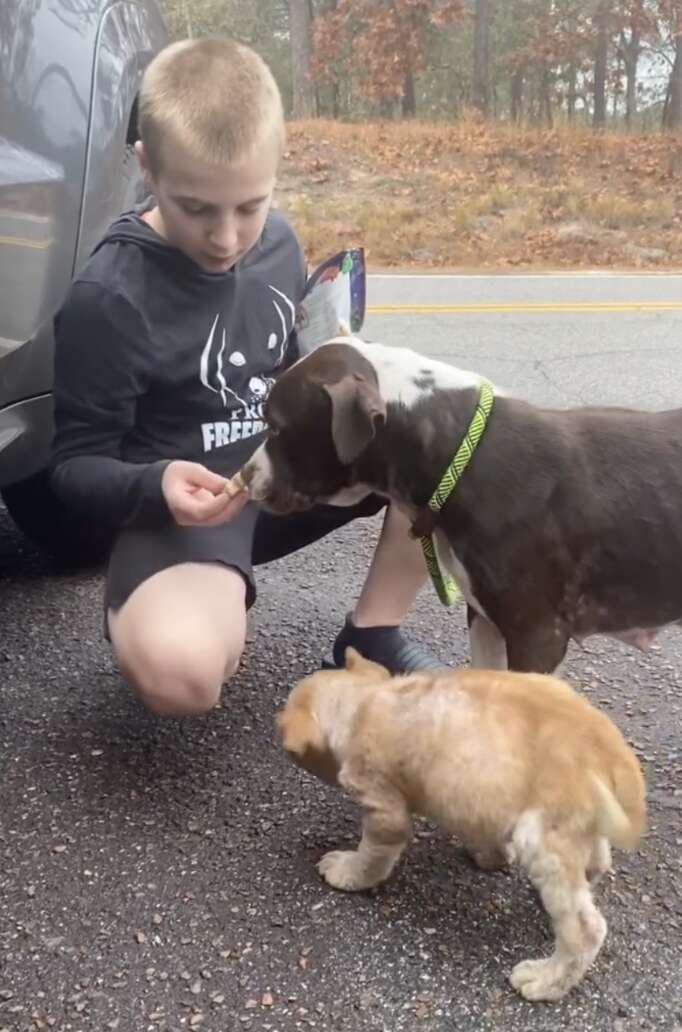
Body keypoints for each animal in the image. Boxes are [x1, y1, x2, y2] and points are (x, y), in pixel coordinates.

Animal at [274, 652, 643, 998]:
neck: (363, 701)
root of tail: (612, 754)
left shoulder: (384, 807)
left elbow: (371, 856)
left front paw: (346, 872)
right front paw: (491, 855)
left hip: (541, 836)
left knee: (586, 930)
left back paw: (544, 981)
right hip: (577, 829)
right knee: (597, 863)